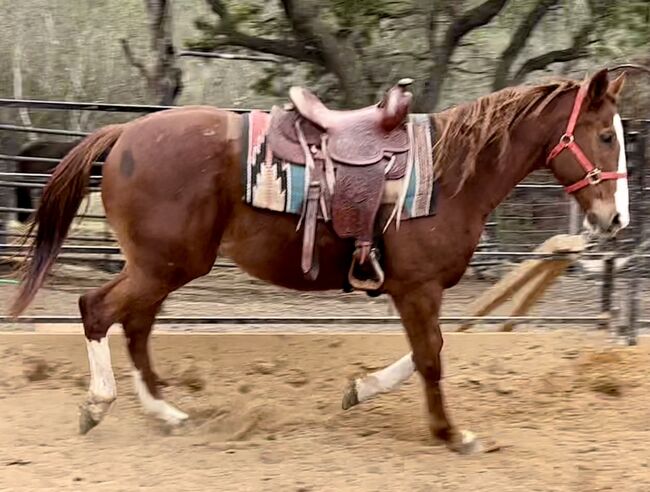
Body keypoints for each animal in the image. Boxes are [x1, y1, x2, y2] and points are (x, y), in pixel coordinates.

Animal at [8, 68, 628, 454]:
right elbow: (431, 357)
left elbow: (423, 353)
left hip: (161, 267)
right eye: (604, 135)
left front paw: (361, 390)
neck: (450, 176)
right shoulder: (418, 288)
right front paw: (451, 434)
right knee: (97, 310)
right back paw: (99, 405)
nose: (616, 218)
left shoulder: (410, 290)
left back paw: (164, 413)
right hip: (163, 266)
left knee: (134, 325)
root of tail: (123, 133)